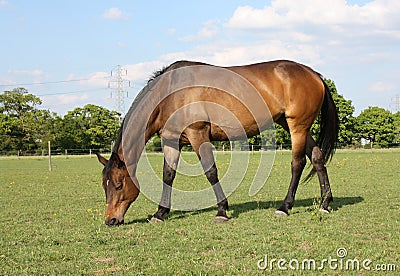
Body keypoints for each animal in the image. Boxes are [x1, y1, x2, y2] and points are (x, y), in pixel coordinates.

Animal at [96, 59, 338, 225]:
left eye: (118, 184)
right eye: (104, 185)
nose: (110, 220)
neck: (170, 93)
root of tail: (313, 74)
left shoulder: (198, 135)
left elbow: (210, 172)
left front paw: (222, 211)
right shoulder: (172, 141)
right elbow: (168, 175)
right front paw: (160, 213)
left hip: (297, 127)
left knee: (298, 163)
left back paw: (285, 207)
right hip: (296, 127)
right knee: (317, 158)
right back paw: (325, 204)